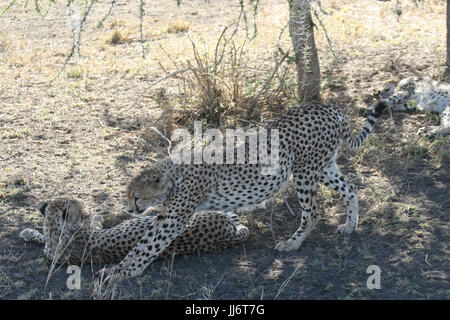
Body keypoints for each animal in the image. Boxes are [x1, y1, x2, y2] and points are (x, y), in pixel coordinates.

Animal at [101, 100, 386, 280]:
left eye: (136, 196)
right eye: (128, 195)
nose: (129, 209)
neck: (175, 175)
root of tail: (328, 107)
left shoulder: (173, 221)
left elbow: (148, 247)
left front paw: (126, 273)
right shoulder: (166, 216)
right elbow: (140, 244)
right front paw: (117, 269)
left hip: (305, 171)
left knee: (313, 213)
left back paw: (292, 244)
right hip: (324, 166)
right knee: (351, 189)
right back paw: (350, 225)